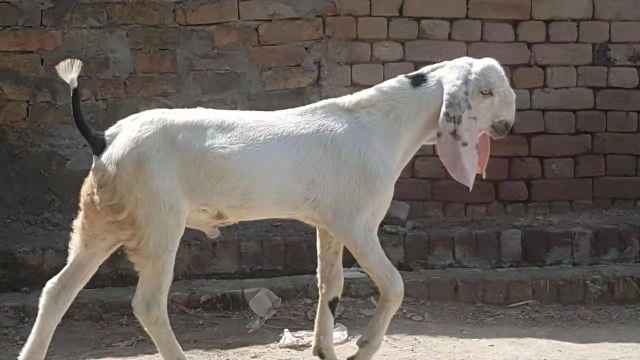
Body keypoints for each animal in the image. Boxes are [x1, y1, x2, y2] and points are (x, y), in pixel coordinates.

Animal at [17, 56, 516, 360]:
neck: (379, 126)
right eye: (486, 92)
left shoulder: (329, 223)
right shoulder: (358, 224)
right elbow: (393, 286)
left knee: (57, 290)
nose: (509, 127)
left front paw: (324, 349)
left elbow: (330, 285)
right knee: (148, 304)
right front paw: (363, 347)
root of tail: (105, 138)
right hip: (158, 223)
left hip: (101, 218)